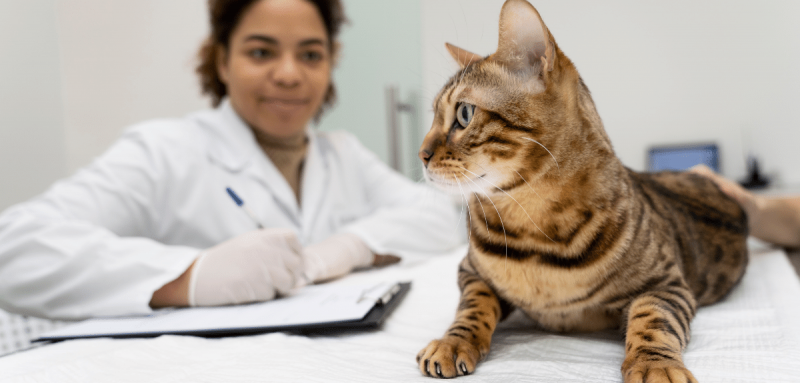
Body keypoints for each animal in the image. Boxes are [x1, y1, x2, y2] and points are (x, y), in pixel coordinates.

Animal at [418, 1, 752, 382]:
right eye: (433, 116)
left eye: (464, 113)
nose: (421, 154)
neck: (533, 229)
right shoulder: (470, 272)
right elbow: (472, 307)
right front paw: (452, 342)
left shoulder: (666, 284)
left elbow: (653, 319)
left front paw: (655, 364)